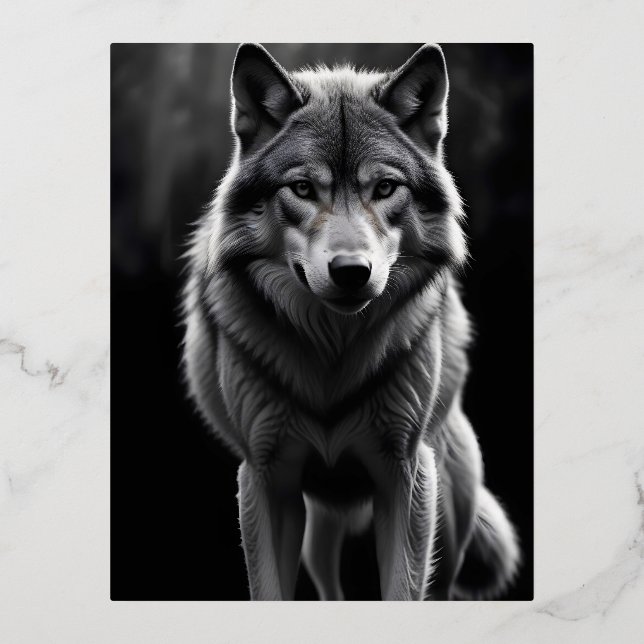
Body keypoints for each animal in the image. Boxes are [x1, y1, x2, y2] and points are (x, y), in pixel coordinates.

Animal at [182, 43, 520, 600]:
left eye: (384, 187)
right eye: (302, 188)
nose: (351, 272)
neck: (332, 354)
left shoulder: (404, 474)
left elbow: (403, 591)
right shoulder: (267, 478)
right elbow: (271, 590)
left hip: (448, 506)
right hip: (320, 518)